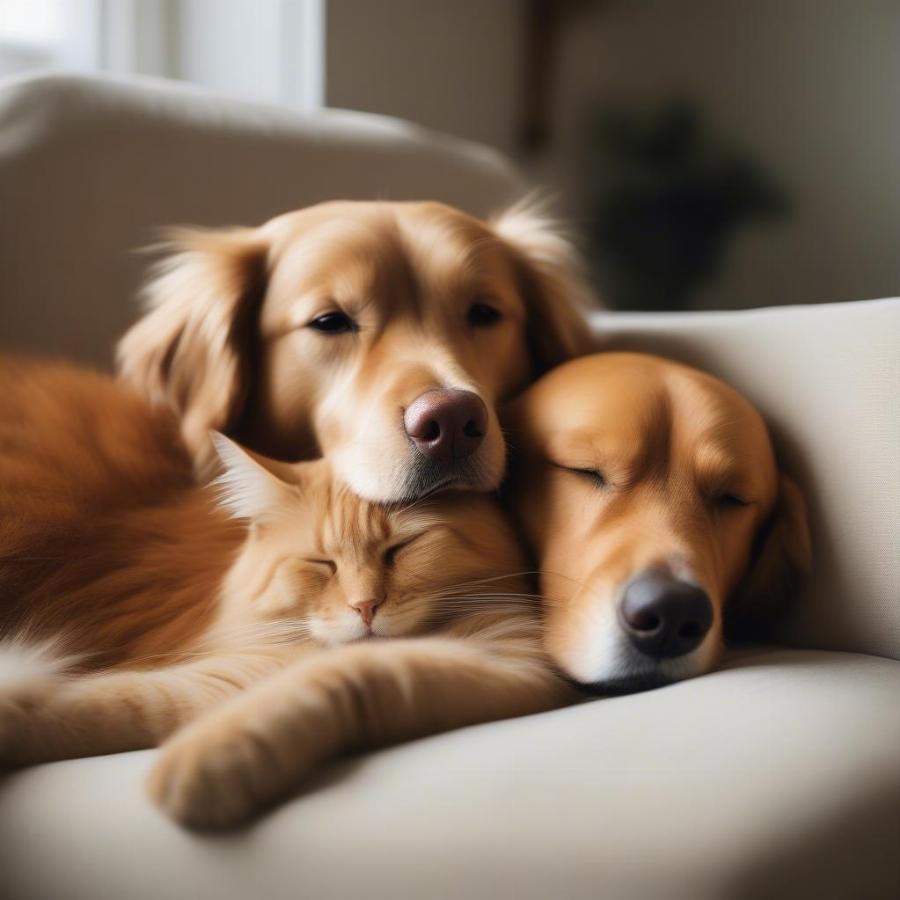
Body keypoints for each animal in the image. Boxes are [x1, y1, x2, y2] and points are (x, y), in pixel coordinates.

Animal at [0, 360, 572, 828]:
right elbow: (121, 701)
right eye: (322, 564)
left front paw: (203, 763)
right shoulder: (228, 670)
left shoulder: (506, 661)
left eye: (399, 550)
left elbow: (329, 677)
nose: (365, 607)